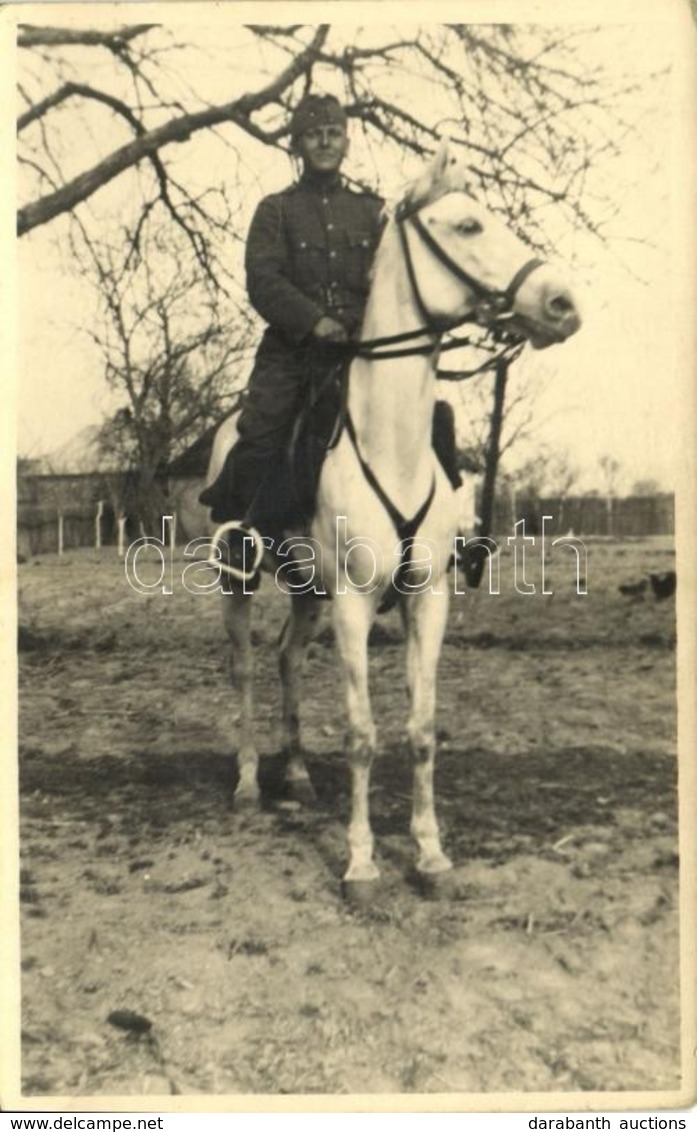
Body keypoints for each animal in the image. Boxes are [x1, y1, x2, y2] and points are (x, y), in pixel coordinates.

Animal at [194, 146, 577, 896]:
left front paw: (429, 854)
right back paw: (250, 782)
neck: (387, 440)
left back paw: (297, 774)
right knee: (246, 667)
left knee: (286, 659)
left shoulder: (426, 599)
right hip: (241, 582)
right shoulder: (352, 602)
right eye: (467, 224)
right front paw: (362, 862)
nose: (560, 303)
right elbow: (362, 735)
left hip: (307, 590)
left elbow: (422, 731)